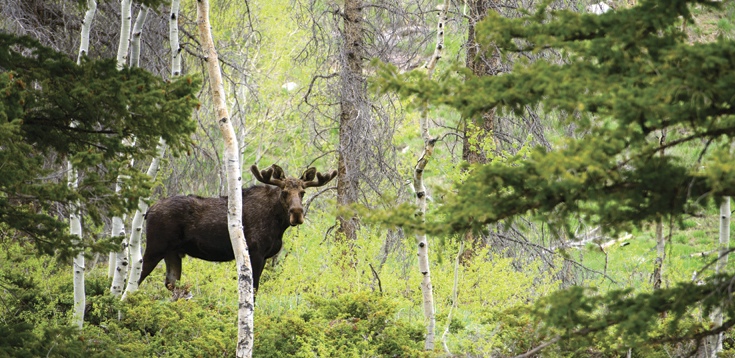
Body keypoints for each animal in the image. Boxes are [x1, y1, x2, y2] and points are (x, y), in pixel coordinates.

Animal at [137, 164, 338, 292]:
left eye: (302, 192)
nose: (297, 213)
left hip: (173, 253)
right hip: (155, 247)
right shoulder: (255, 253)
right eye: (284, 192)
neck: (278, 224)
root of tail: (149, 211)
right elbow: (253, 290)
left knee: (171, 284)